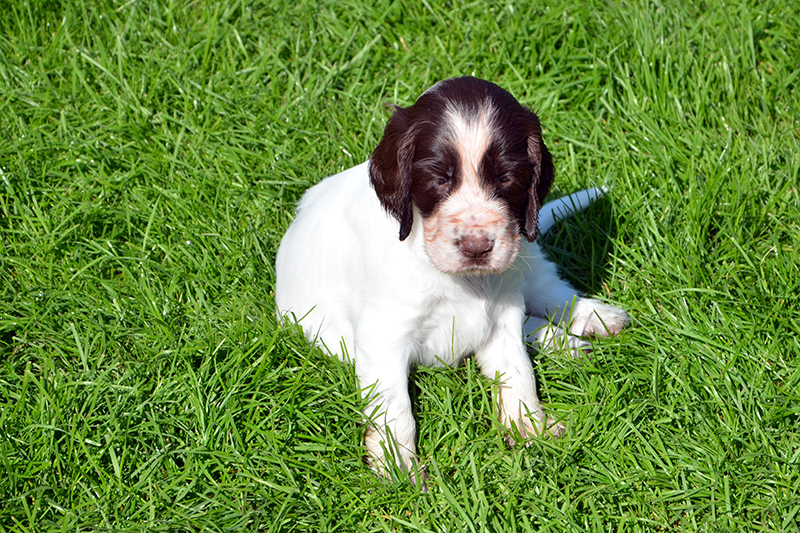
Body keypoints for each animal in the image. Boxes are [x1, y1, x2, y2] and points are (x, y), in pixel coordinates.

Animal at [278, 76, 628, 482]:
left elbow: (518, 371)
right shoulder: (384, 334)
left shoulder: (502, 310)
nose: (477, 246)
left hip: (525, 260)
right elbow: (394, 407)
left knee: (553, 294)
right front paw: (398, 467)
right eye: (438, 178)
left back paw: (595, 321)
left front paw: (530, 429)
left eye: (507, 178)